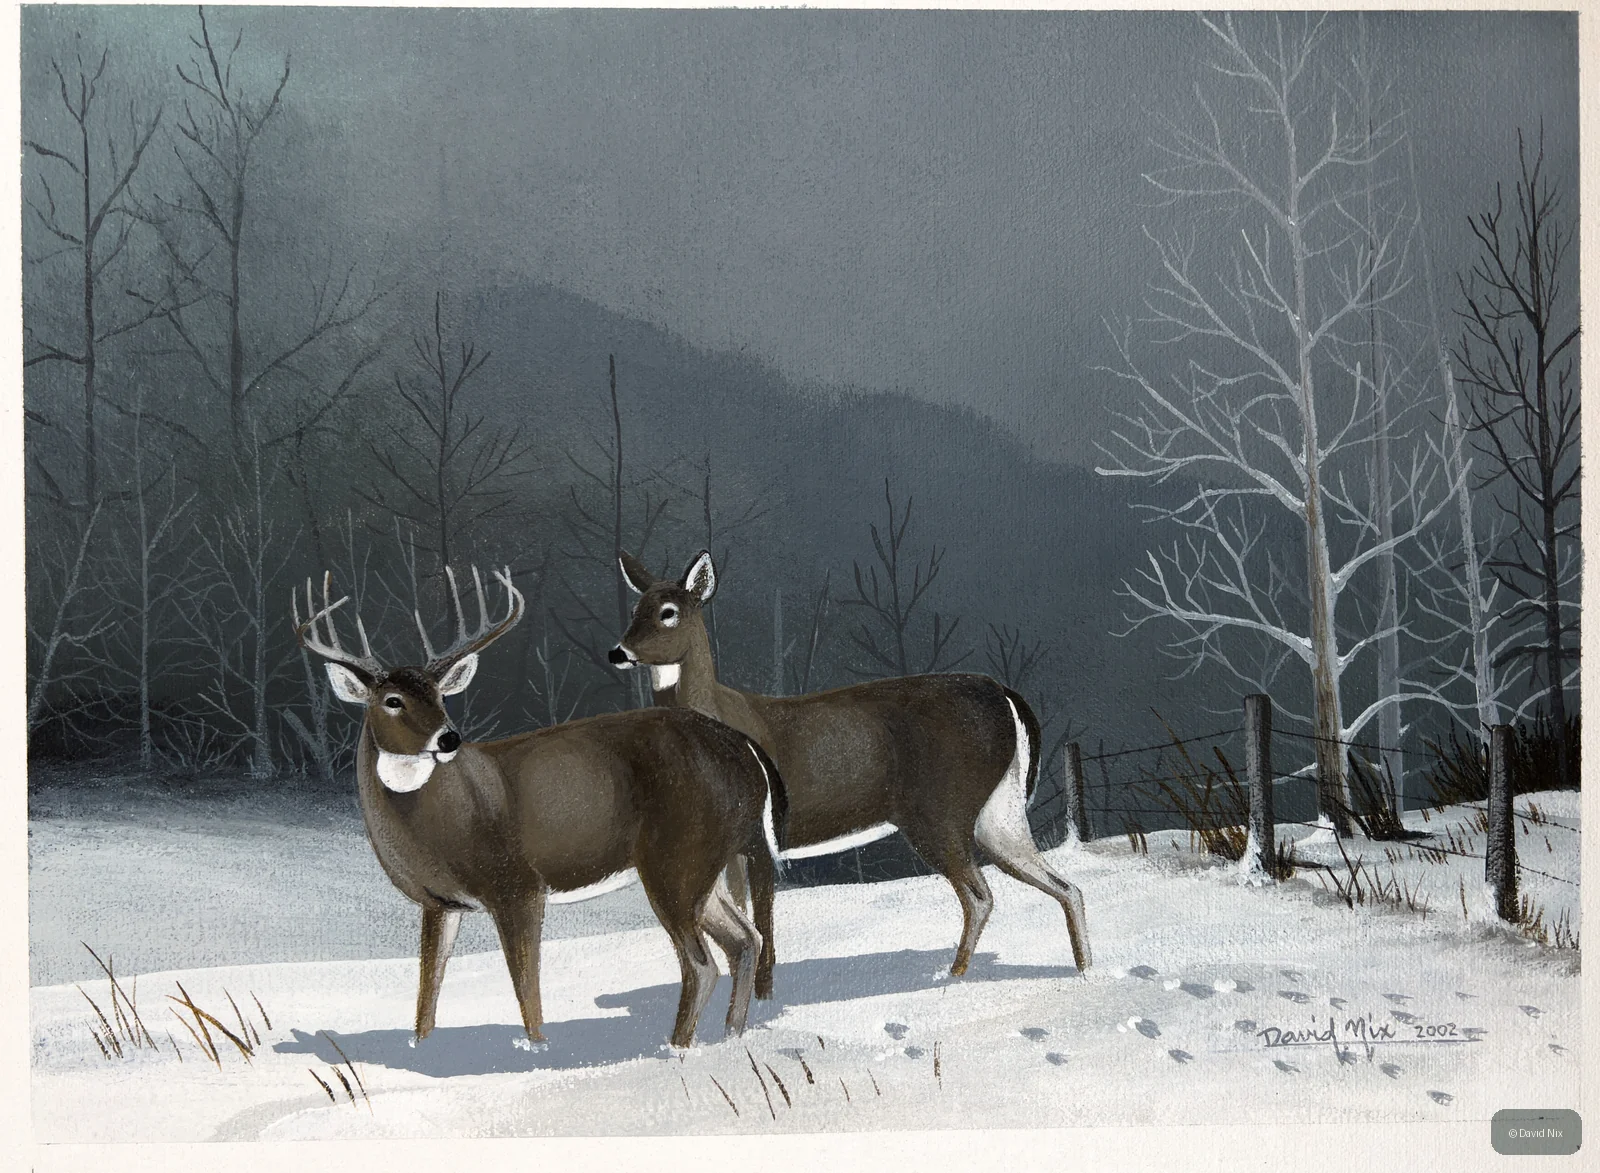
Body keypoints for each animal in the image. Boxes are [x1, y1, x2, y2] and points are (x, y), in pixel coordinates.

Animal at [293, 564, 788, 1050]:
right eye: (392, 701)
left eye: (439, 696)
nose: (448, 738)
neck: (437, 821)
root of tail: (749, 751)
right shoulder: (440, 903)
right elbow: (427, 993)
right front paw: (423, 1048)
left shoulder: (517, 884)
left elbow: (526, 990)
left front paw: (537, 1051)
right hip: (706, 864)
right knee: (745, 941)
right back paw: (730, 1039)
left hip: (676, 858)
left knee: (703, 963)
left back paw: (677, 1049)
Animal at [610, 550, 1091, 1000]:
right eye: (635, 610)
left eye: (668, 611)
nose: (618, 652)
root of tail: (1004, 693)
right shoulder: (730, 847)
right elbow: (741, 913)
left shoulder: (764, 836)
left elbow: (761, 920)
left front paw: (764, 997)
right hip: (998, 811)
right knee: (1065, 886)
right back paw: (1083, 968)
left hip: (941, 812)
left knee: (981, 896)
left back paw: (952, 977)